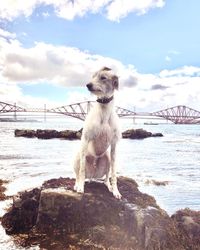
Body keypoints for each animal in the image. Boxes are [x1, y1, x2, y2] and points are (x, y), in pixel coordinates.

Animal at [72, 67, 121, 199]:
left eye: (103, 77)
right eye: (93, 76)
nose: (88, 85)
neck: (104, 110)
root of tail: (93, 174)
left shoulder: (114, 145)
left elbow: (114, 173)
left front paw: (116, 191)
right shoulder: (85, 139)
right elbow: (82, 170)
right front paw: (80, 188)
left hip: (107, 157)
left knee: (106, 177)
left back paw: (108, 185)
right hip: (78, 156)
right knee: (79, 174)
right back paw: (78, 184)